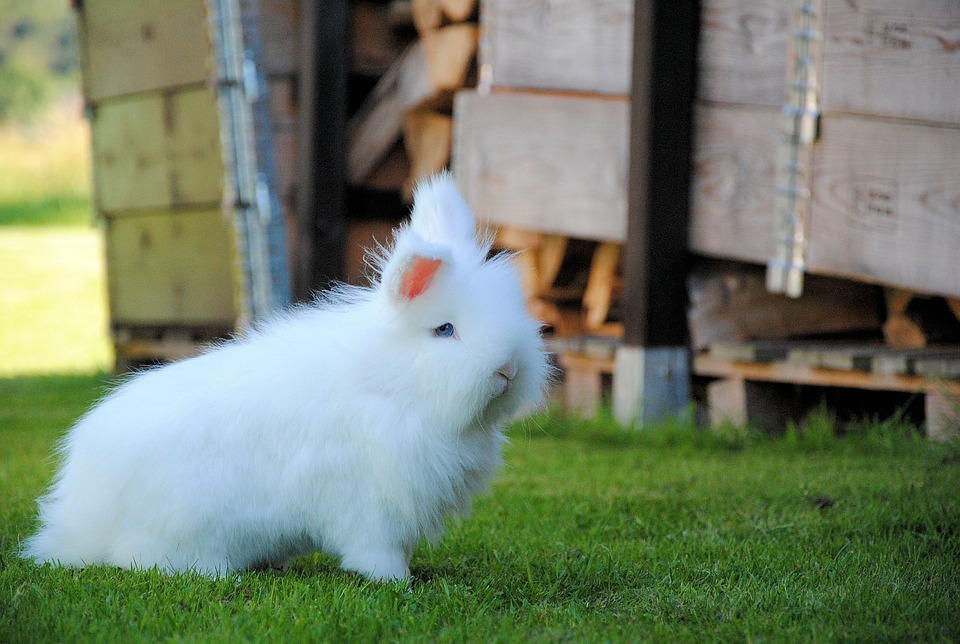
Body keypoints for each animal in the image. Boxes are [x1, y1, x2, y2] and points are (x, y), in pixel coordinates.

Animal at [20, 174, 548, 580]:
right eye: (445, 330)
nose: (508, 370)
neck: (393, 386)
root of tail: (80, 522)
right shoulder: (370, 504)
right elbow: (375, 550)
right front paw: (396, 581)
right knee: (143, 559)